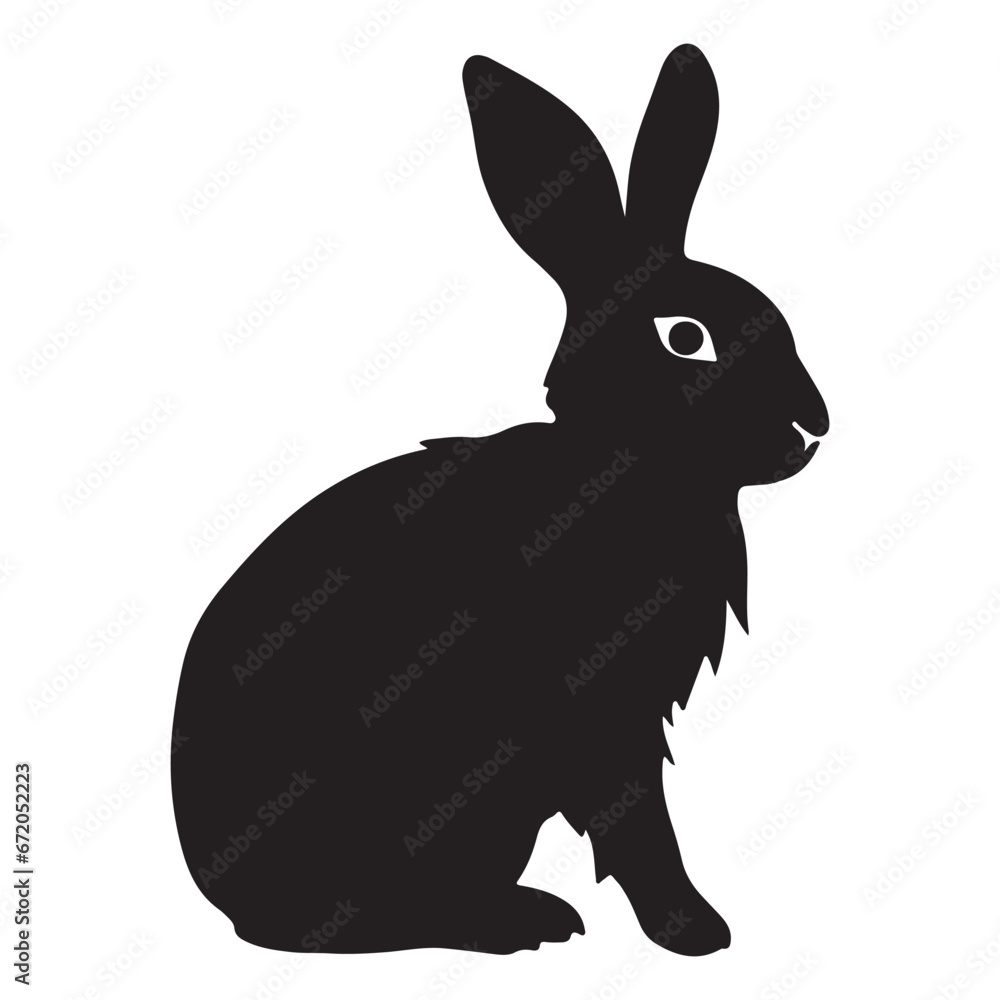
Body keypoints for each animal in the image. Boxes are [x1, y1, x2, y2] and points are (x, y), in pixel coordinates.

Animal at [171, 44, 828, 957]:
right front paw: (693, 929)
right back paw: (521, 922)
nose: (814, 424)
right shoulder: (597, 718)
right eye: (686, 337)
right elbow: (635, 824)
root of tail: (219, 890)